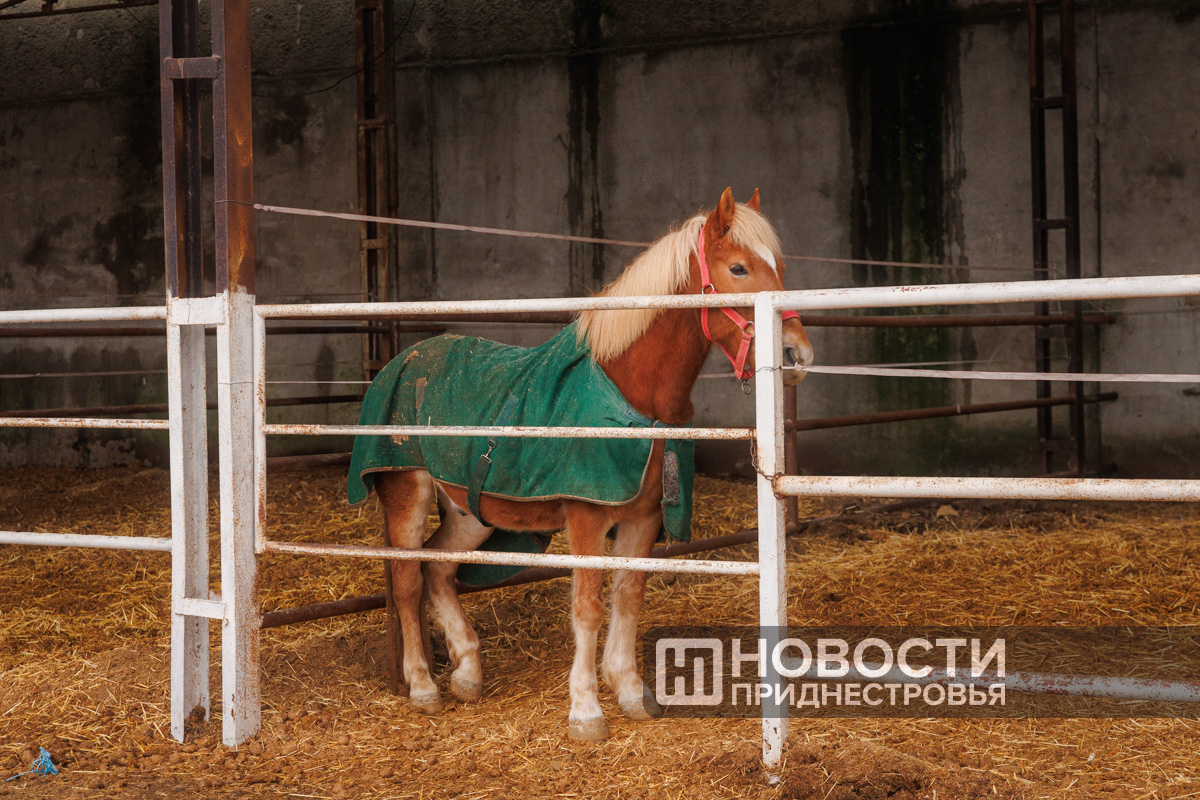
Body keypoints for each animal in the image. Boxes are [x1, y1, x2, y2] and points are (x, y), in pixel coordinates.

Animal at [352, 187, 813, 741]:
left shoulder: (643, 517)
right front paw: (587, 710)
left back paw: (467, 672)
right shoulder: (587, 517)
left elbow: (629, 596)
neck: (630, 393)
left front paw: (632, 691)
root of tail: (401, 362)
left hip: (469, 509)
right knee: (407, 581)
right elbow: (588, 608)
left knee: (440, 568)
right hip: (408, 492)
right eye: (739, 268)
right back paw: (423, 686)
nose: (796, 353)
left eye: (779, 267)